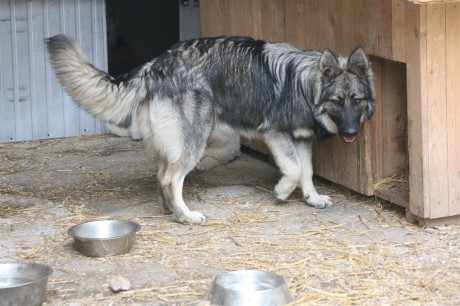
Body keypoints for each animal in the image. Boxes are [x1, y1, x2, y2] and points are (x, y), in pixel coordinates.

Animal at [47, 34, 378, 224]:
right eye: (337, 101)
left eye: (356, 100)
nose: (351, 133)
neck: (306, 84)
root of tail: (153, 66)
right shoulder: (276, 133)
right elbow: (295, 170)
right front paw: (283, 192)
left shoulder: (301, 138)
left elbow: (307, 171)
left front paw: (312, 199)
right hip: (195, 139)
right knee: (170, 178)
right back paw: (185, 216)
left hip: (175, 143)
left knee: (161, 175)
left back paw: (170, 210)